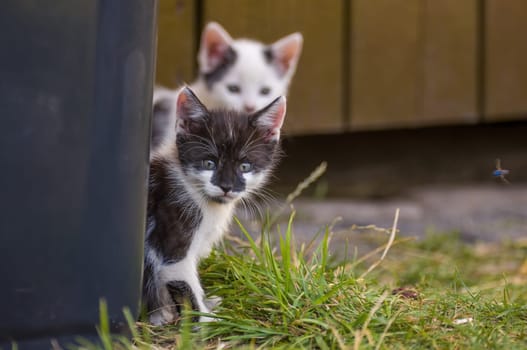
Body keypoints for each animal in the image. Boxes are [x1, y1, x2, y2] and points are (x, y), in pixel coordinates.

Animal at [144, 86, 286, 324]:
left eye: (245, 166)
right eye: (209, 163)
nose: (226, 186)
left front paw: (207, 305)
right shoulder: (171, 226)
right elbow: (184, 281)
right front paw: (208, 321)